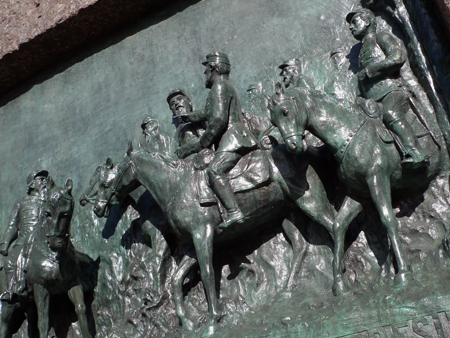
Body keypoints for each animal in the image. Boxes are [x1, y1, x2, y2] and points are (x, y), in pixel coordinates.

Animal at [0, 180, 92, 338]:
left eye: (65, 214)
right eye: (47, 213)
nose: (55, 243)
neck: (55, 256)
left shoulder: (74, 284)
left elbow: (80, 308)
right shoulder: (40, 287)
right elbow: (44, 320)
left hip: (27, 302)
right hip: (8, 302)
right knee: (5, 324)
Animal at [91, 141, 336, 336]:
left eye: (105, 183)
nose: (97, 208)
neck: (176, 186)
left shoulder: (203, 235)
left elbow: (207, 273)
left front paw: (212, 321)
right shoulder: (190, 244)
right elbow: (176, 280)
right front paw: (187, 323)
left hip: (309, 201)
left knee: (334, 225)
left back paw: (337, 281)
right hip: (288, 213)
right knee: (301, 246)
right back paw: (287, 289)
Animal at [268, 84, 442, 296]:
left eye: (285, 112)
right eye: (272, 121)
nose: (293, 146)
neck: (349, 133)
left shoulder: (377, 179)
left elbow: (388, 219)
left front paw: (403, 274)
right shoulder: (358, 193)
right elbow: (338, 225)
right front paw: (339, 283)